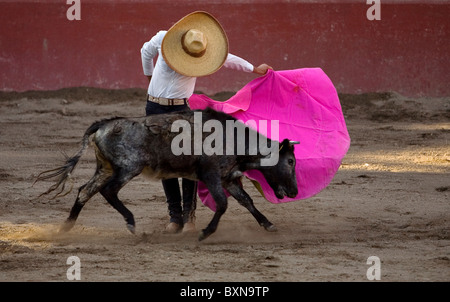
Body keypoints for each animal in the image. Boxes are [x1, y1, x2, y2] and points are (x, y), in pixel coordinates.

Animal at [36, 108, 298, 241]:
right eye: (291, 161)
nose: (295, 191)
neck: (233, 139)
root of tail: (103, 124)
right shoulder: (211, 175)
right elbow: (223, 204)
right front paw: (205, 233)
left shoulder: (228, 178)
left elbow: (247, 201)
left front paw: (268, 225)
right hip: (129, 167)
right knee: (109, 191)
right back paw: (131, 223)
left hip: (105, 168)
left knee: (85, 191)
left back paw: (65, 228)